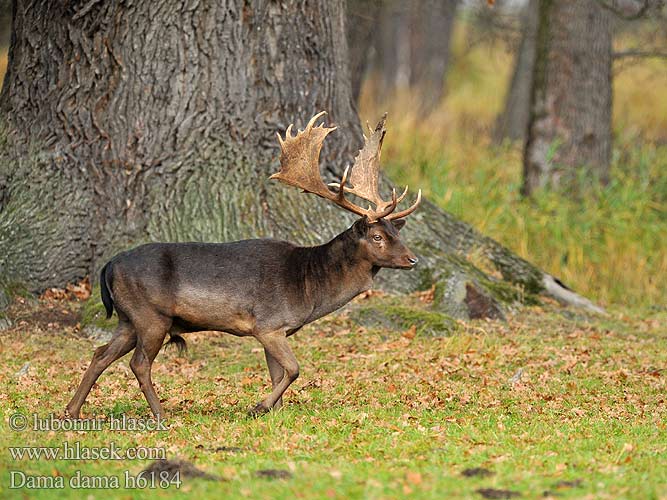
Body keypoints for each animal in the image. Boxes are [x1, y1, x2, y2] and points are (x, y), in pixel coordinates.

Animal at [65, 111, 420, 420]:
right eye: (377, 236)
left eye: (396, 232)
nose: (412, 259)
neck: (308, 288)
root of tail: (109, 265)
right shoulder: (268, 324)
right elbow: (294, 369)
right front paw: (258, 407)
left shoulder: (278, 329)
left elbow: (278, 373)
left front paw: (274, 413)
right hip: (151, 314)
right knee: (139, 363)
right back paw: (160, 414)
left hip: (128, 318)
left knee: (100, 353)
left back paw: (72, 411)